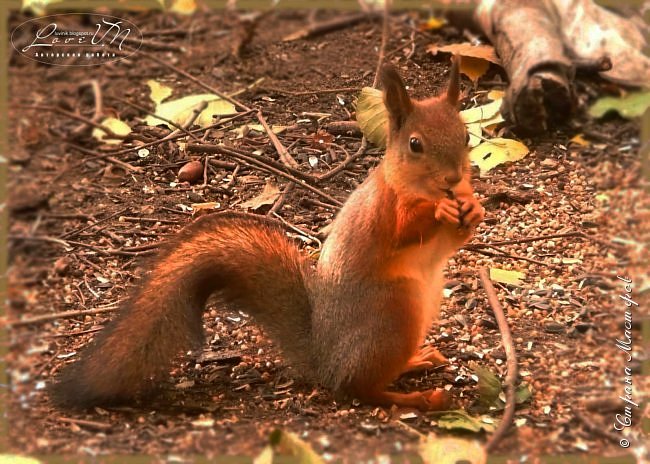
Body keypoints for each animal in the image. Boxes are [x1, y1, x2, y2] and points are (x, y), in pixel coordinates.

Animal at [50, 57, 484, 410]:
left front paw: (474, 207)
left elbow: (456, 239)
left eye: (466, 136)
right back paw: (420, 398)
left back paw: (418, 360)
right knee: (361, 389)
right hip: (392, 316)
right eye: (415, 145)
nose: (453, 178)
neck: (420, 188)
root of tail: (325, 362)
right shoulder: (382, 211)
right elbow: (402, 231)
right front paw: (441, 209)